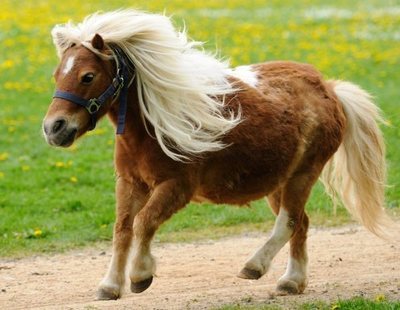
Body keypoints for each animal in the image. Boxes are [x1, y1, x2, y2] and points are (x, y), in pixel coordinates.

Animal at [42, 10, 390, 300]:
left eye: (88, 76)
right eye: (57, 74)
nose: (53, 128)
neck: (152, 126)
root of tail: (329, 88)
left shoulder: (176, 187)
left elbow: (144, 223)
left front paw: (141, 275)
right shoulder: (129, 183)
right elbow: (122, 229)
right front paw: (110, 285)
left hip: (304, 173)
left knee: (289, 221)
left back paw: (255, 267)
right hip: (279, 182)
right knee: (300, 223)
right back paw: (292, 282)